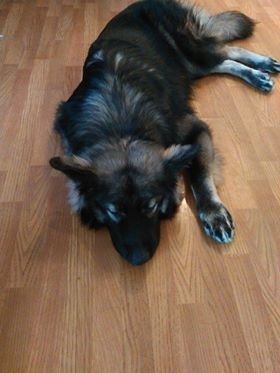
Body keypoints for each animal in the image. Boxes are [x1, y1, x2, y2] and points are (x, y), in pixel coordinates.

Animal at [49, 0, 278, 264]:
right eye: (113, 211)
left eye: (151, 206)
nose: (138, 259)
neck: (122, 127)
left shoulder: (195, 130)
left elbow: (201, 176)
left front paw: (214, 214)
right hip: (193, 64)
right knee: (222, 60)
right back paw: (258, 73)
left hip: (191, 50)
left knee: (226, 51)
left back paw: (261, 67)